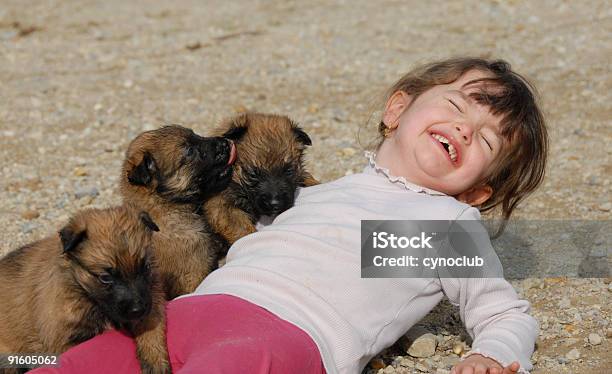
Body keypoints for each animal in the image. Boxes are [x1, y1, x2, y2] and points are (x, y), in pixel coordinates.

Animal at [0, 207, 169, 374]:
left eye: (146, 267)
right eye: (105, 278)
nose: (137, 310)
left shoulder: (152, 297)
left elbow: (151, 327)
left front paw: (155, 360)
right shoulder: (62, 340)